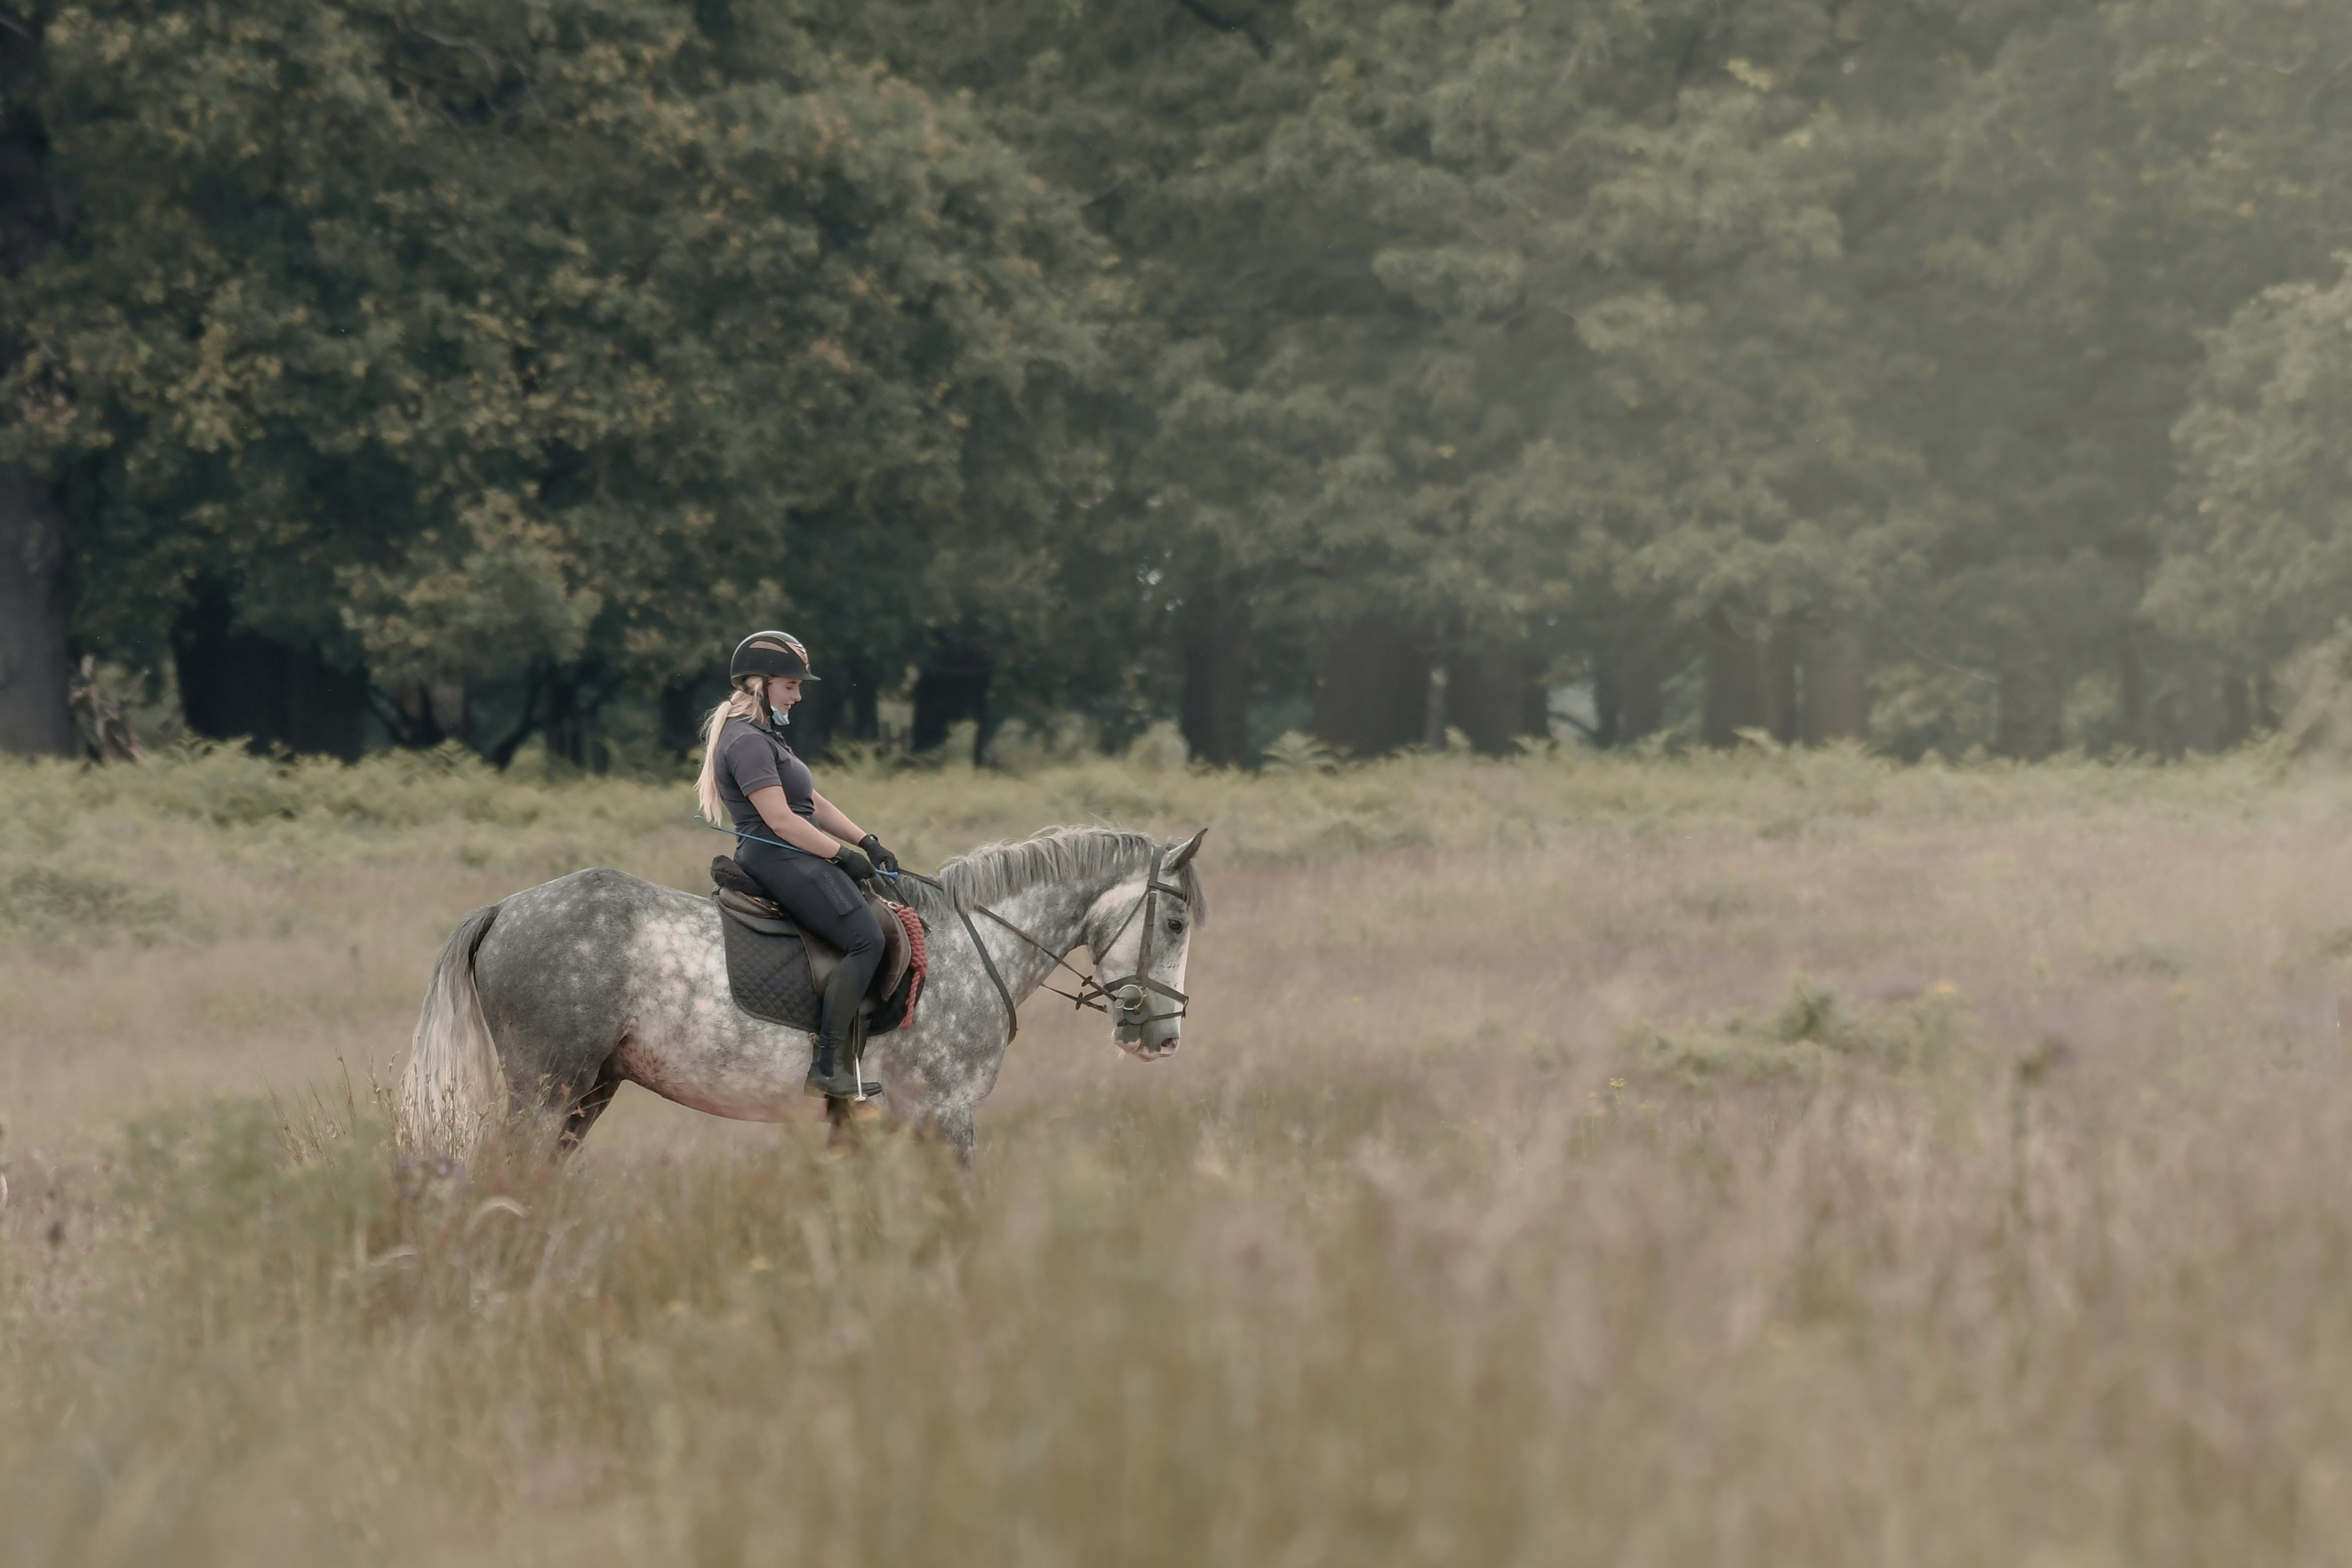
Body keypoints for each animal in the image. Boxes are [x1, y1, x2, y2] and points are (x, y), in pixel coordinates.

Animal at [397, 826, 1208, 1164]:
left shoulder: (864, 1125)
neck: (971, 947)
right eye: (1173, 922)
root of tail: (505, 908)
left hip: (586, 1092)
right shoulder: (947, 1117)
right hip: (547, 1091)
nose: (1164, 1037)